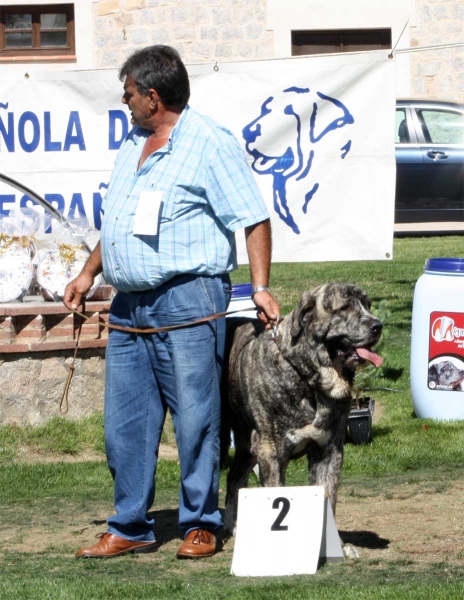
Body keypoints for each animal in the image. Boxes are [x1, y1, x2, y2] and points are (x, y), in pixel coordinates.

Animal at [223, 282, 382, 536]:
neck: (308, 378)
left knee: (234, 478)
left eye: (367, 305)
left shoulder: (329, 450)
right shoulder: (271, 452)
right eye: (345, 307)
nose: (378, 326)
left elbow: (328, 498)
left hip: (247, 445)